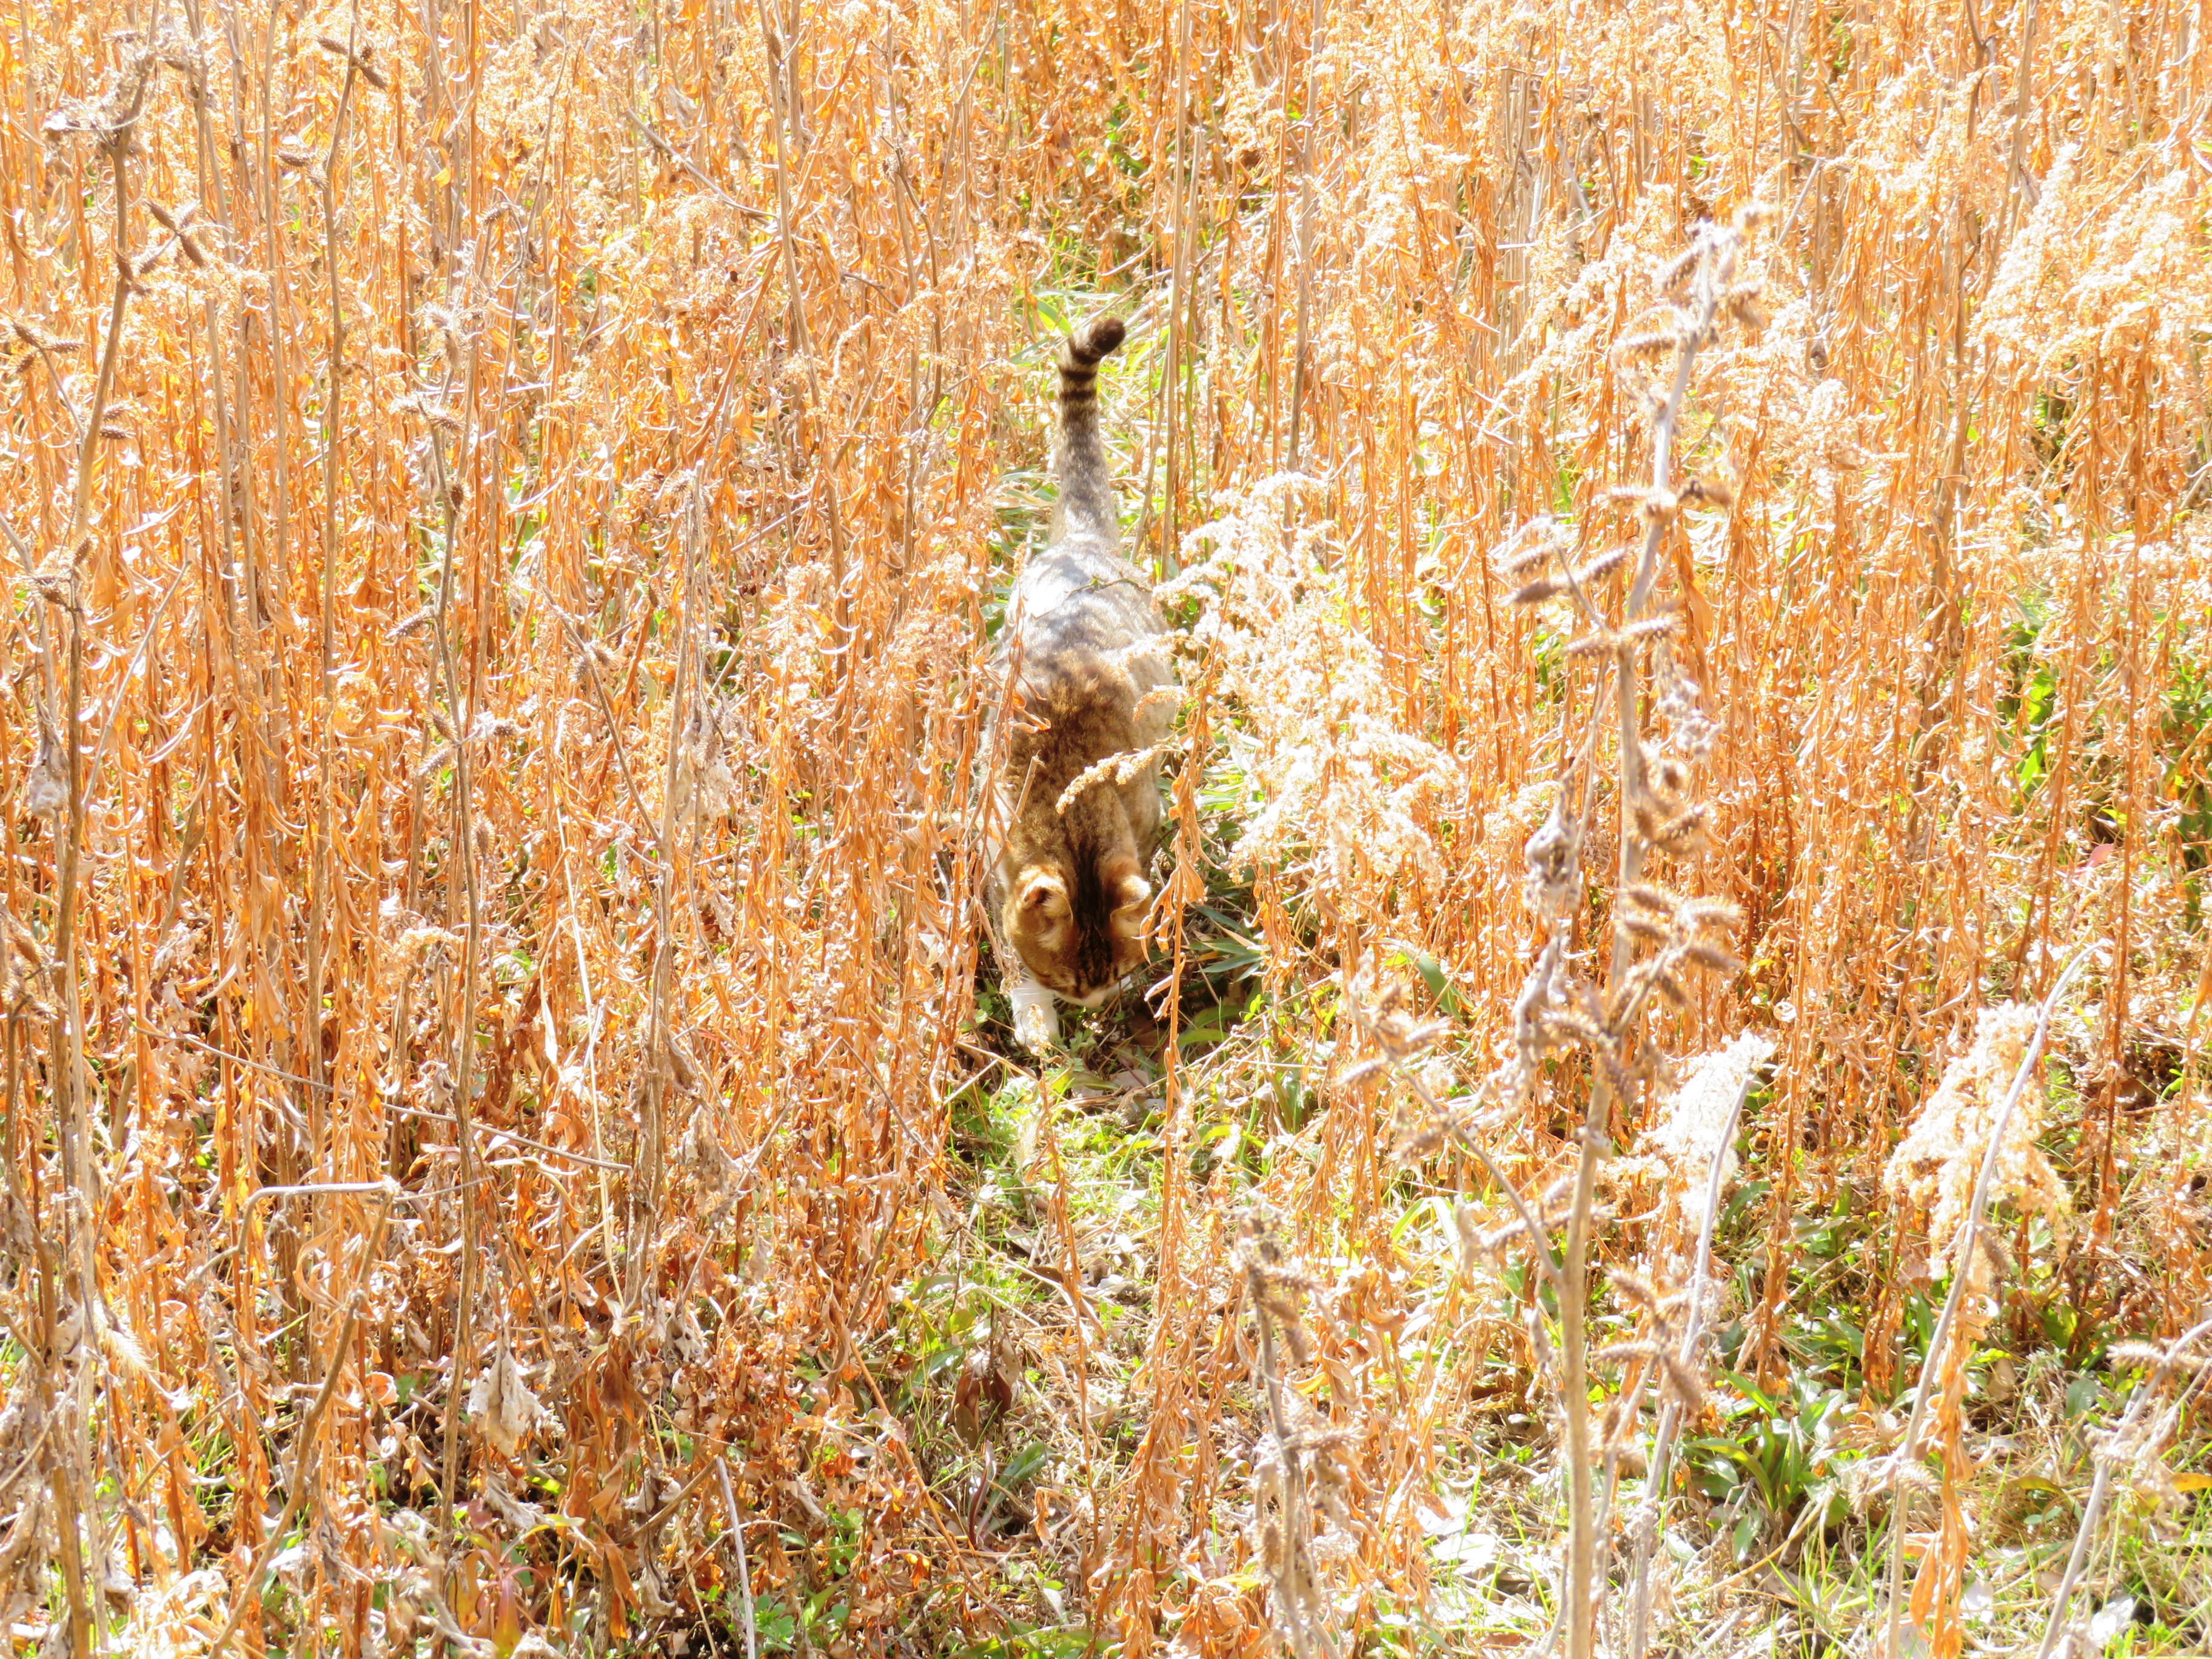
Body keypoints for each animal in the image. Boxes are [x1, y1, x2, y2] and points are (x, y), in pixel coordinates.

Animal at [995, 314, 1185, 1053]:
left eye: (1115, 973)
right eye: (1069, 982)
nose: (1100, 1000)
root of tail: (1083, 541)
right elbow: (1010, 951)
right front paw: (1034, 1016)